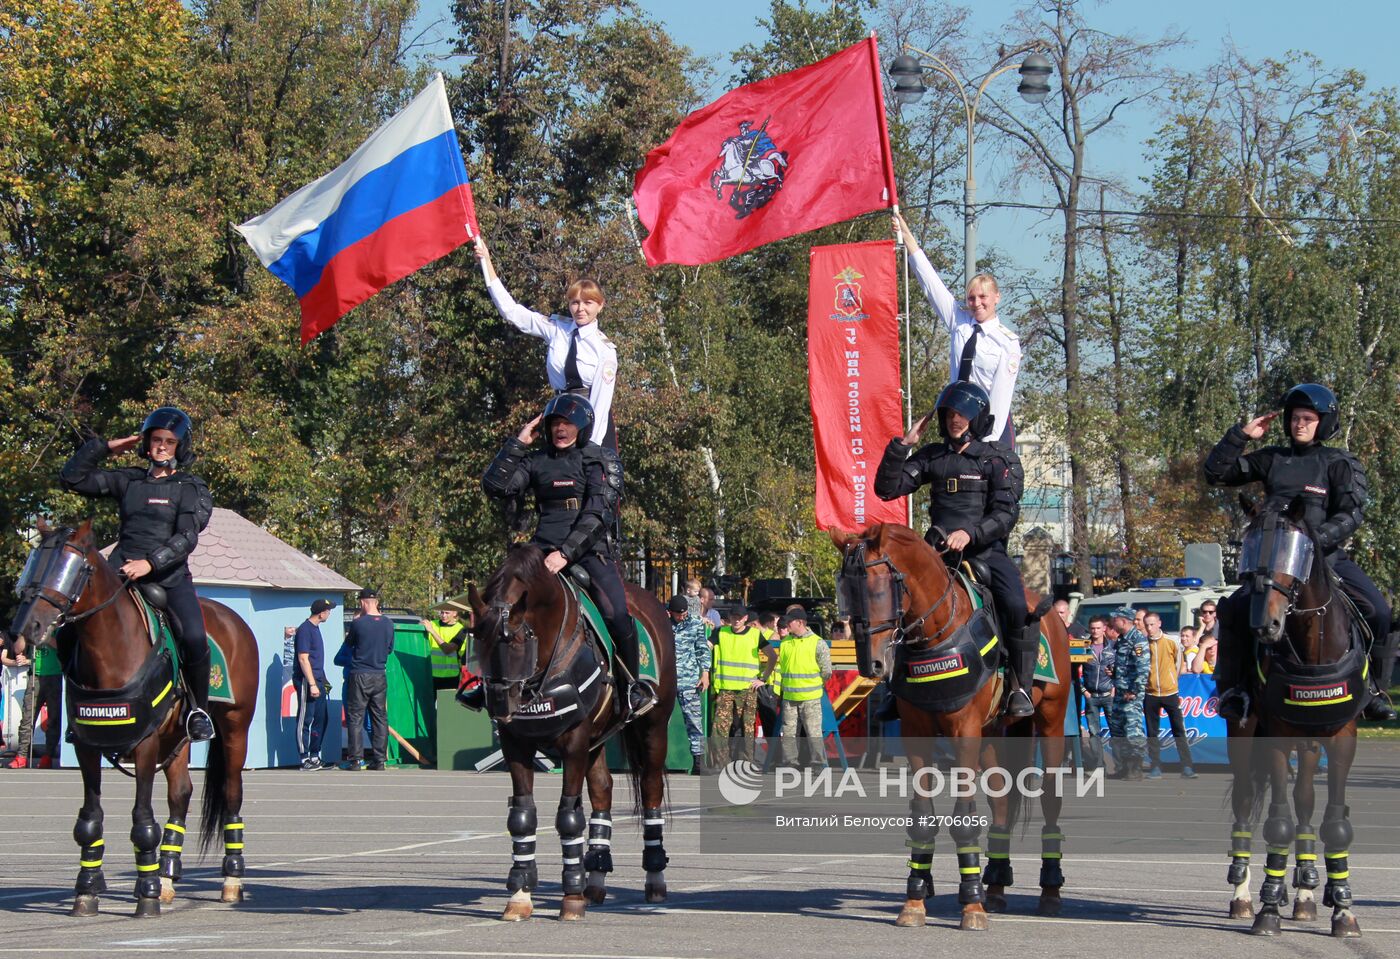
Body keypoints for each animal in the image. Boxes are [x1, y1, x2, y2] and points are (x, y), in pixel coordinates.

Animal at [8, 520, 259, 918]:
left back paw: (230, 880)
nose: (23, 630)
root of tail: (235, 620)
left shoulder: (145, 745)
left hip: (235, 727)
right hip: (176, 738)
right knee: (180, 795)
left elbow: (142, 820)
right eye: (34, 566)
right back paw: (168, 876)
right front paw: (87, 890)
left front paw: (147, 894)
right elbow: (89, 820)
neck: (110, 649)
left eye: (70, 568)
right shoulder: (87, 747)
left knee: (232, 795)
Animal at [467, 543, 680, 918]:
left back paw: (654, 878)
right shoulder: (516, 744)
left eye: (519, 640)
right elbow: (522, 816)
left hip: (652, 729)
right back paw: (595, 878)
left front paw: (571, 896)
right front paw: (520, 894)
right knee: (602, 792)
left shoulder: (575, 742)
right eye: (479, 642)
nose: (501, 705)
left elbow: (568, 816)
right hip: (597, 741)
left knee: (651, 790)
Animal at [828, 520, 1069, 929]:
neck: (936, 634)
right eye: (845, 592)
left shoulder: (963, 732)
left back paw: (1049, 891)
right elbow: (923, 819)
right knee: (1001, 801)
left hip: (1049, 721)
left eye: (879, 589)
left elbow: (963, 819)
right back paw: (995, 887)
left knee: (1051, 799)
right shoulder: (917, 735)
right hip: (993, 735)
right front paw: (915, 900)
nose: (870, 664)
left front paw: (970, 905)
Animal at [1220, 492, 1360, 935]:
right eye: (1250, 548)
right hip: (1244, 735)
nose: (1265, 624)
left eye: (1293, 550)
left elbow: (1334, 823)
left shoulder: (1342, 738)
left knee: (1305, 804)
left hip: (1310, 742)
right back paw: (1244, 896)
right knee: (1245, 803)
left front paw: (1342, 908)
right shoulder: (1277, 737)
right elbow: (1276, 821)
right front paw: (1266, 908)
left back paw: (1303, 894)